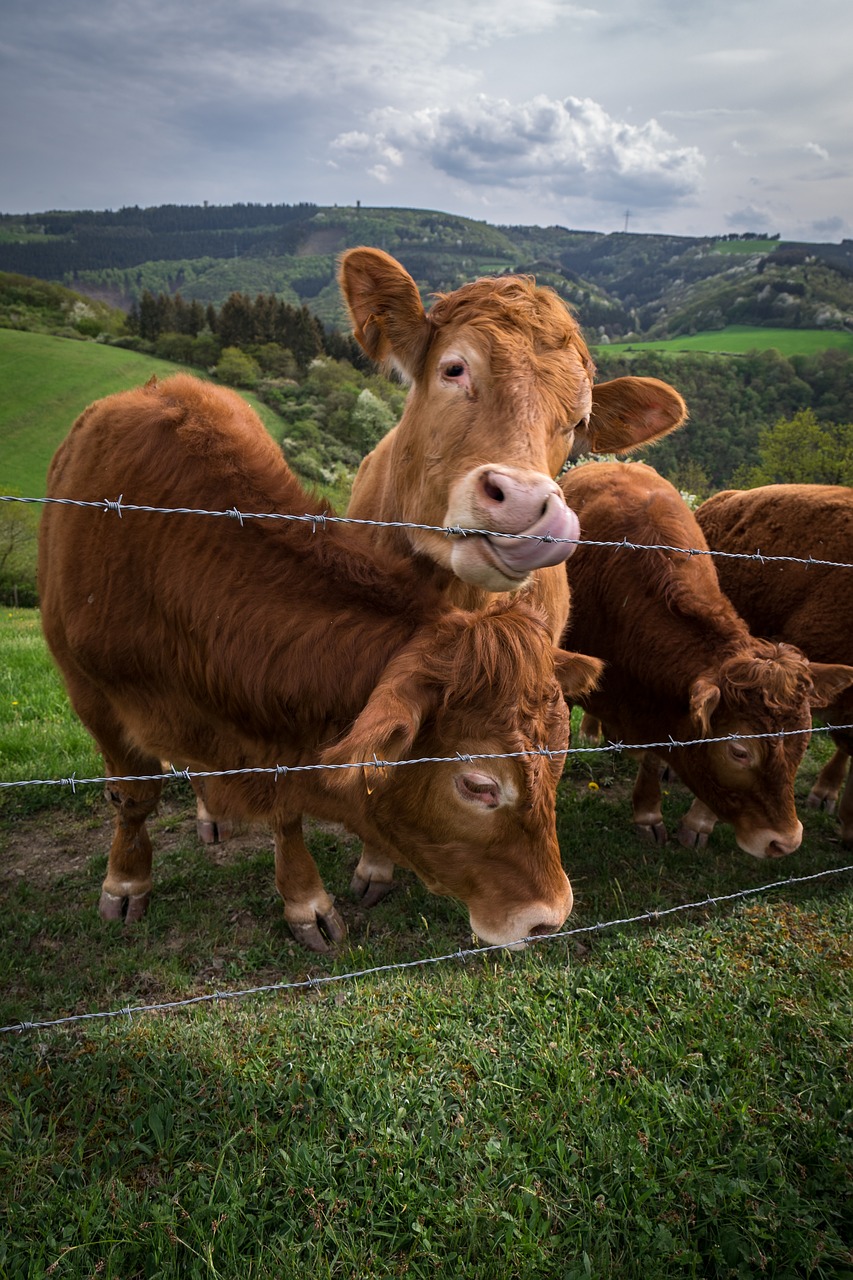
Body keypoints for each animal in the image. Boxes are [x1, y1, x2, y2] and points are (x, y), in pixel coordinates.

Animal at [38, 371, 596, 952]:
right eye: (478, 785)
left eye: (560, 758)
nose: (548, 917)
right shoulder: (91, 695)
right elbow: (133, 796)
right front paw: (125, 883)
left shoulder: (271, 727)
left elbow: (285, 812)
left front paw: (305, 900)